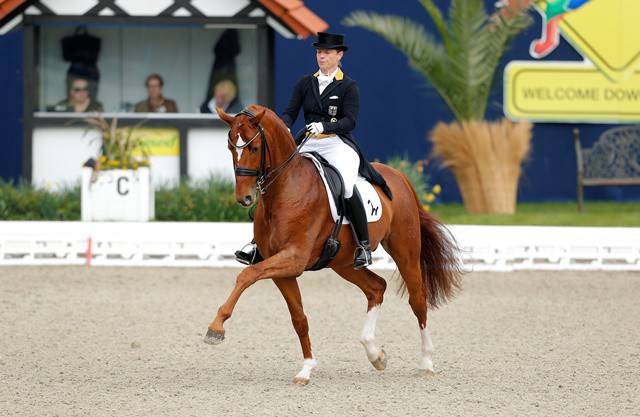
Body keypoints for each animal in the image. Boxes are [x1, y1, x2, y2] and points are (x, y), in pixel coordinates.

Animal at [205, 104, 460, 384]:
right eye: (230, 147)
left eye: (254, 148)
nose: (245, 198)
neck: (286, 189)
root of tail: (398, 175)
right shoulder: (282, 267)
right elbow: (298, 317)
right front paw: (306, 368)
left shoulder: (294, 258)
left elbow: (247, 275)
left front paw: (216, 328)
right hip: (343, 262)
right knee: (376, 288)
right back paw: (375, 354)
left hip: (405, 252)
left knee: (418, 300)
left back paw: (426, 362)